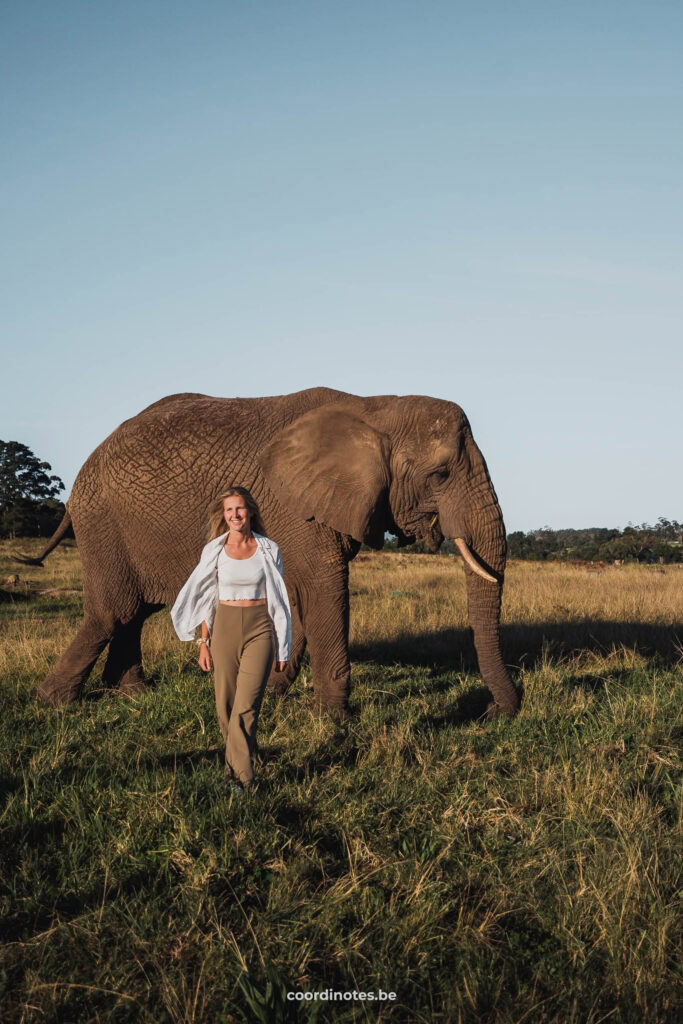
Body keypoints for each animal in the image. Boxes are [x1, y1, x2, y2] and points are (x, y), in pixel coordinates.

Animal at [18, 385, 520, 720]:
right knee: (113, 611)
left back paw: (132, 695)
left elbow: (295, 598)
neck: (375, 408)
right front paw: (336, 721)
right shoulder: (297, 506)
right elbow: (324, 591)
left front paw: (274, 691)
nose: (495, 712)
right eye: (441, 475)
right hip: (102, 521)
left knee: (136, 612)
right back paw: (54, 701)